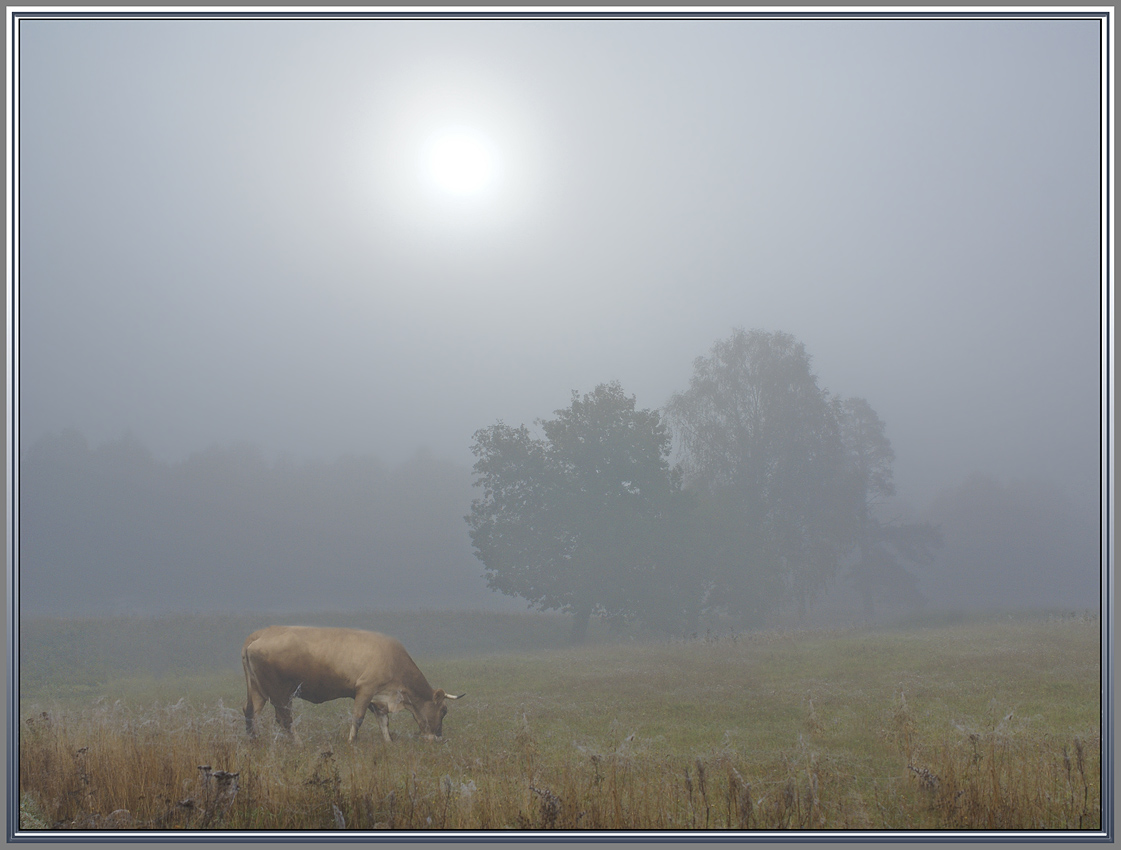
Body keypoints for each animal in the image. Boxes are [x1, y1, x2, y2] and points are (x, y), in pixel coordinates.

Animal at [241, 627, 464, 744]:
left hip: (258, 690)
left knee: (251, 712)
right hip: (279, 692)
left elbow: (383, 721)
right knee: (285, 718)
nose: (438, 737)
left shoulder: (378, 697)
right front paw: (351, 742)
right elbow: (358, 718)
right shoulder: (365, 689)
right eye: (443, 710)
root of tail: (258, 635)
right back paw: (298, 743)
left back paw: (254, 741)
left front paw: (389, 742)